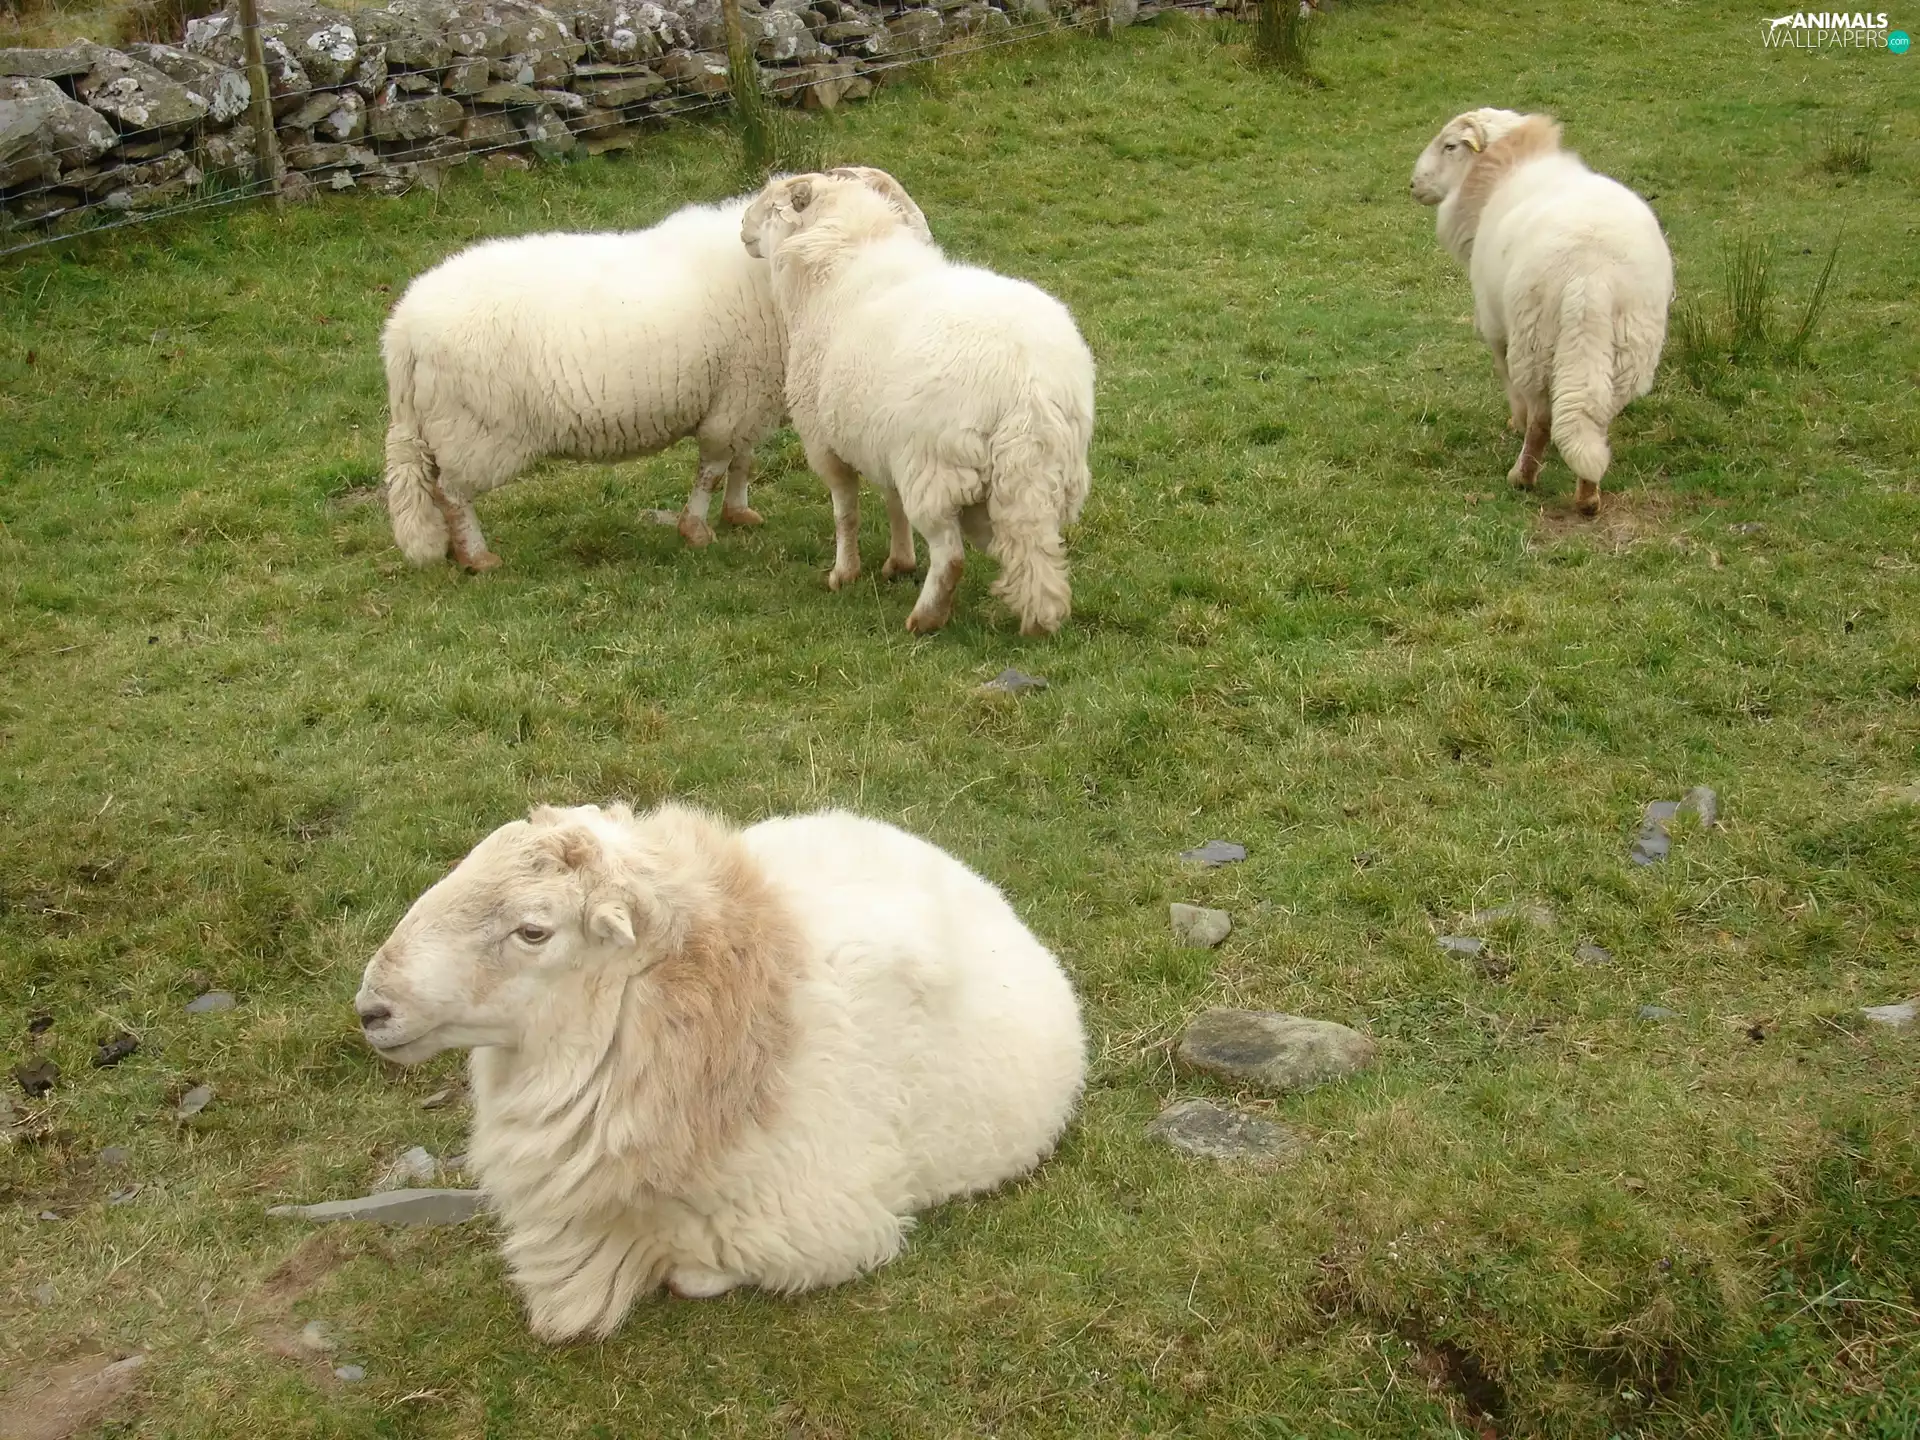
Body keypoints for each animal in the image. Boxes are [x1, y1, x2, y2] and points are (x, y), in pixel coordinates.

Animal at [380, 173, 930, 573]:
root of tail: (401, 330)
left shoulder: (744, 395)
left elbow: (743, 462)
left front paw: (739, 513)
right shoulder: (734, 399)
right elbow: (711, 467)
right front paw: (697, 530)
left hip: (445, 426)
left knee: (433, 487)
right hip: (474, 432)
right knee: (452, 494)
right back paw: (477, 557)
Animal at [741, 169, 1095, 636]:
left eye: (771, 204)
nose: (742, 227)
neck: (836, 260)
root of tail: (1027, 385)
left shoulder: (825, 442)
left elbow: (845, 513)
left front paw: (844, 574)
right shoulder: (885, 442)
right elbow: (894, 506)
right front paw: (899, 562)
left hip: (934, 468)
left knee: (950, 554)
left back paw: (925, 618)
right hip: (1036, 472)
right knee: (1031, 546)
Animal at [1410, 109, 1674, 515]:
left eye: (1450, 146)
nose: (1413, 184)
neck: (1507, 166)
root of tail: (1592, 272)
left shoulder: (1495, 326)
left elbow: (1505, 377)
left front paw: (1513, 422)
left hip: (1534, 338)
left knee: (1541, 418)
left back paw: (1523, 476)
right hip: (1629, 347)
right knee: (1591, 418)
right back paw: (1588, 495)